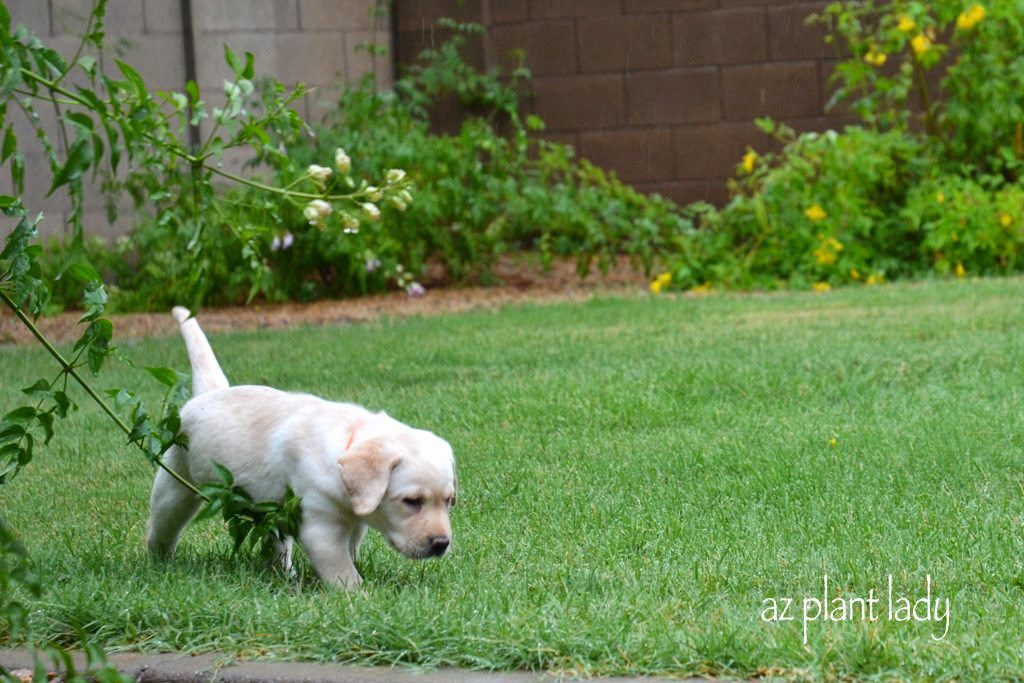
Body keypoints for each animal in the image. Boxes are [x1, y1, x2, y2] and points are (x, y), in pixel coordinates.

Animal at [146, 307, 458, 589]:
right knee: (162, 526)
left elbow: (352, 550)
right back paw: (159, 562)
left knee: (276, 544)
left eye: (448, 501)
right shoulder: (320, 526)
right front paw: (361, 596)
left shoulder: (352, 523)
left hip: (271, 513)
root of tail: (209, 392)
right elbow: (342, 570)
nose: (441, 544)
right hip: (175, 483)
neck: (346, 443)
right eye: (412, 501)